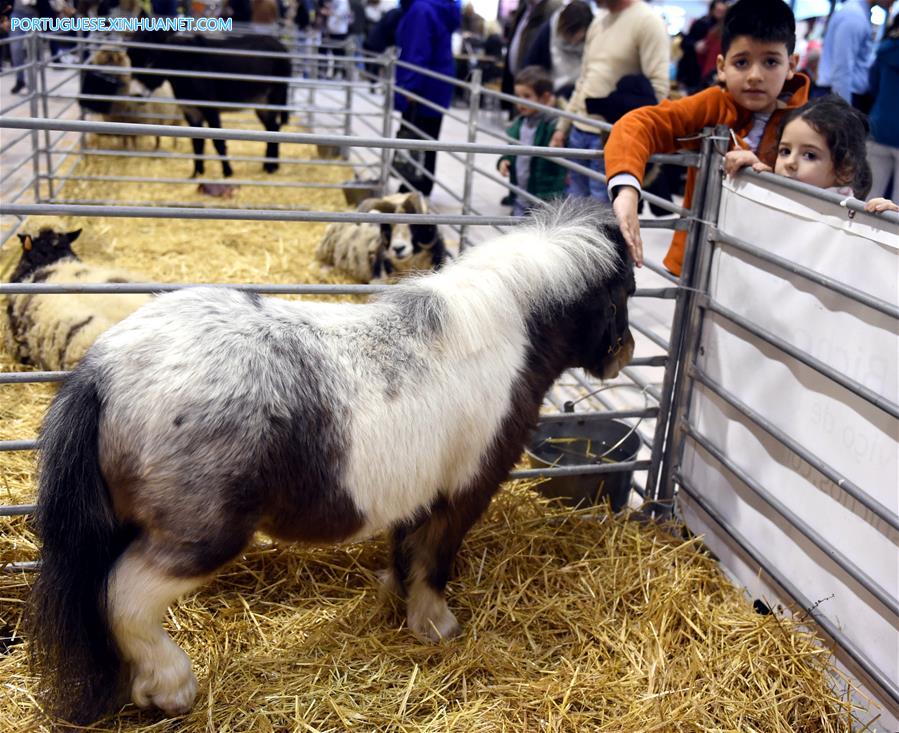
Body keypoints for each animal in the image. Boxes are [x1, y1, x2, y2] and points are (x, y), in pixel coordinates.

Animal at [126, 32, 292, 179]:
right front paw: (196, 175)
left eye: (149, 61)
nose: (135, 95)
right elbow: (197, 142)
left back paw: (270, 167)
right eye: (131, 60)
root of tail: (280, 45)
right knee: (272, 127)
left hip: (273, 98)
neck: (185, 65)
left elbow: (217, 141)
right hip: (261, 104)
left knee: (273, 127)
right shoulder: (191, 111)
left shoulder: (210, 109)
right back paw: (270, 166)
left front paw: (227, 173)